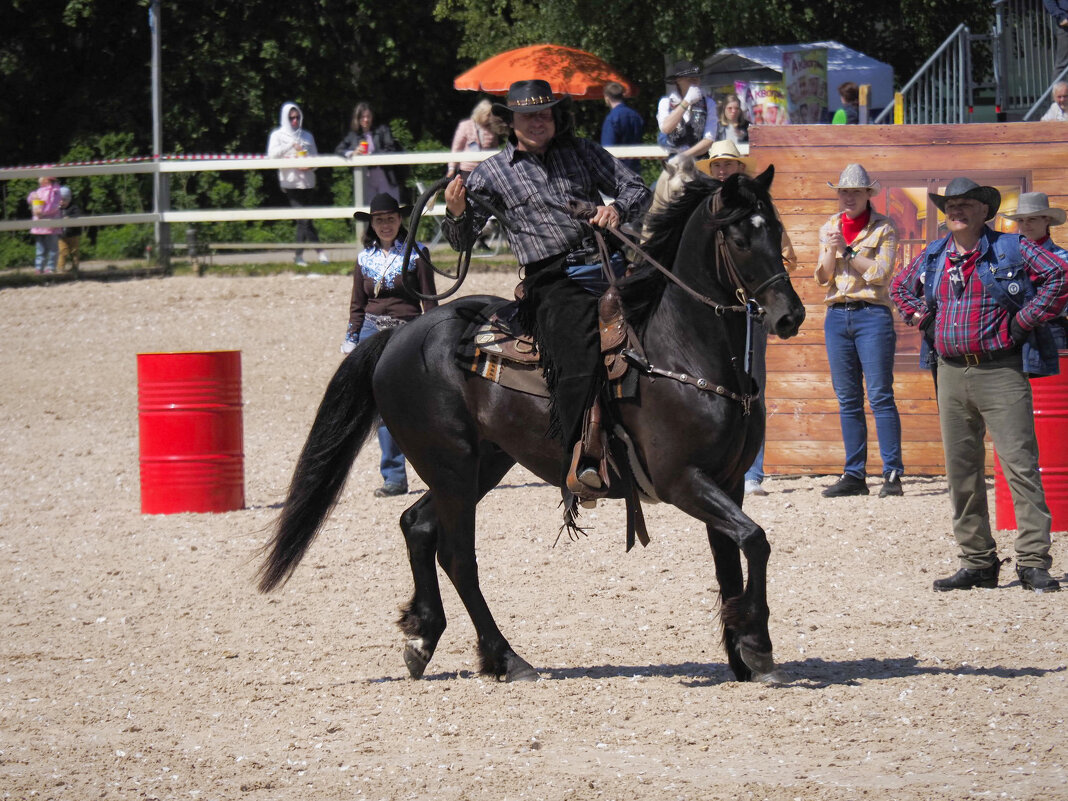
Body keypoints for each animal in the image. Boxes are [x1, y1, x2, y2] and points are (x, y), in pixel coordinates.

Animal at [262, 167, 803, 683]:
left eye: (776, 229)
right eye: (740, 238)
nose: (790, 315)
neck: (677, 350)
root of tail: (398, 338)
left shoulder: (728, 482)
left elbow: (732, 558)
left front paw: (742, 655)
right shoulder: (682, 481)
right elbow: (755, 540)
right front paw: (758, 646)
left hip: (480, 466)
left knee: (417, 526)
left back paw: (422, 639)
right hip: (452, 466)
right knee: (457, 556)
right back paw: (506, 657)